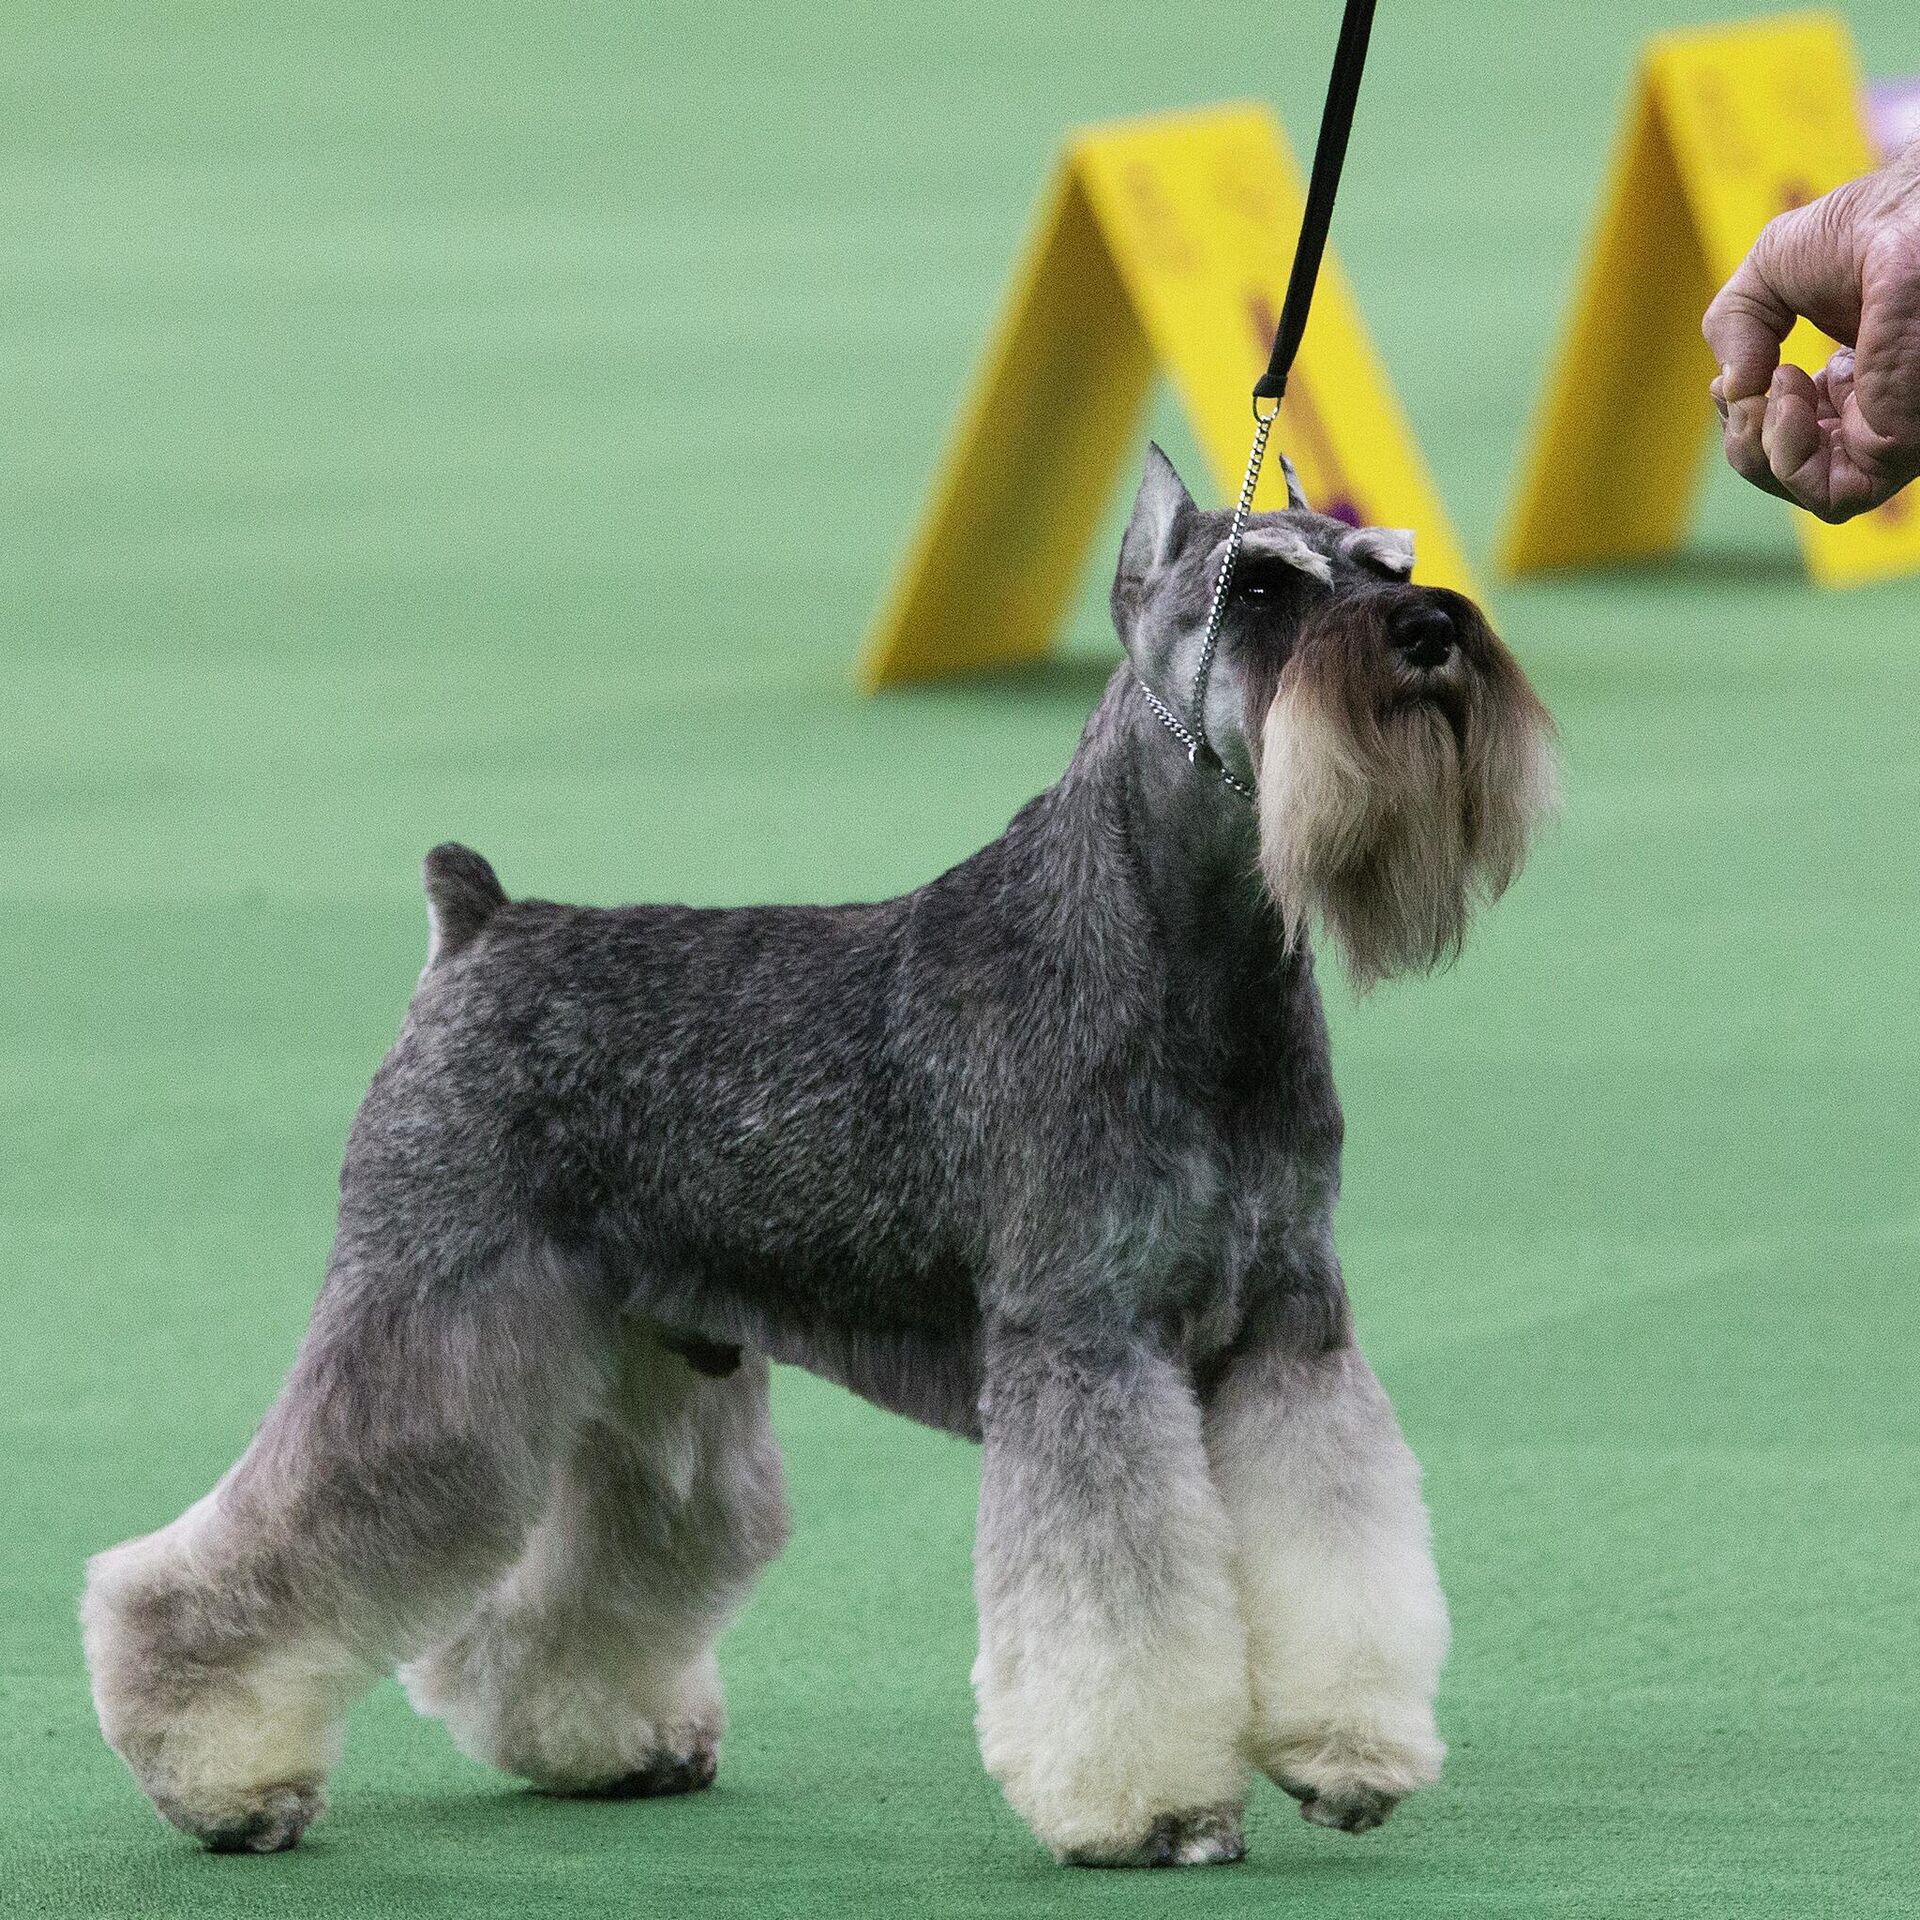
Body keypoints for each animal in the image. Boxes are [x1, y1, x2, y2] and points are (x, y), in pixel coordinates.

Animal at [78, 445, 1559, 1858]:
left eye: (1386, 564)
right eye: (1260, 586)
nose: (1432, 628)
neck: (1194, 960)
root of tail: (481, 924)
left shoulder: (1289, 1334)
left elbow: (1333, 1551)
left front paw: (1346, 1752)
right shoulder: (1086, 1343)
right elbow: (1119, 1607)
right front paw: (1151, 1811)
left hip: (655, 1375)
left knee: (589, 1577)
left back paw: (605, 1741)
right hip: (431, 1337)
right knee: (253, 1550)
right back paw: (222, 1783)